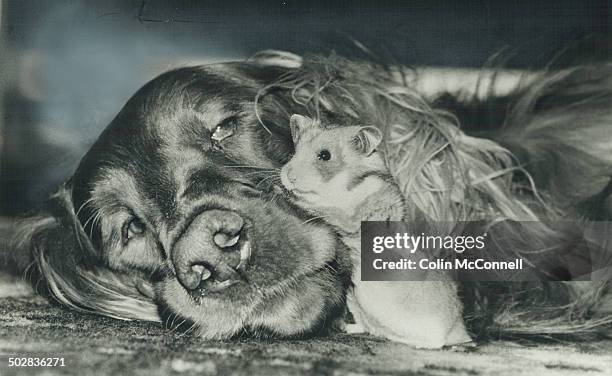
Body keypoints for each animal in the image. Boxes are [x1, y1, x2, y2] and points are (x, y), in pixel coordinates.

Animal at [280, 114, 470, 350]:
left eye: (324, 155)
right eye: (295, 150)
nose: (287, 177)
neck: (343, 185)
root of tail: (459, 329)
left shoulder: (352, 217)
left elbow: (326, 209)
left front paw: (286, 194)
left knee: (436, 342)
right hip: (356, 300)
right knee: (367, 326)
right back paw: (348, 328)